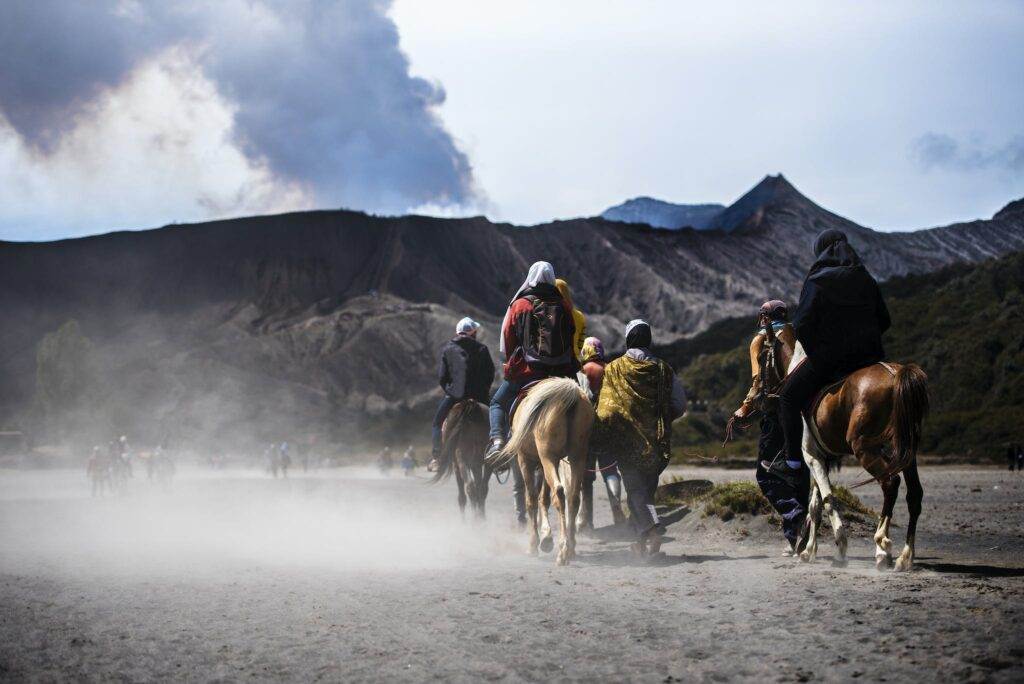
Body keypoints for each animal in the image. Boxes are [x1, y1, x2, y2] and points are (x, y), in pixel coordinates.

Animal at [495, 376, 593, 565]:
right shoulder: (544, 463)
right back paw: (570, 547)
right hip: (577, 456)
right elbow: (543, 498)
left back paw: (563, 551)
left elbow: (532, 499)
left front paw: (534, 544)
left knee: (559, 492)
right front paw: (546, 537)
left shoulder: (526, 460)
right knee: (573, 496)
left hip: (548, 457)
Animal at [790, 342, 937, 573]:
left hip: (865, 449)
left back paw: (882, 541)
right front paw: (808, 550)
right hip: (906, 452)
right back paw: (904, 557)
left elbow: (826, 501)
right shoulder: (821, 459)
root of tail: (894, 373)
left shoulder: (811, 456)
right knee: (914, 495)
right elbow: (816, 505)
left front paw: (839, 550)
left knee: (890, 483)